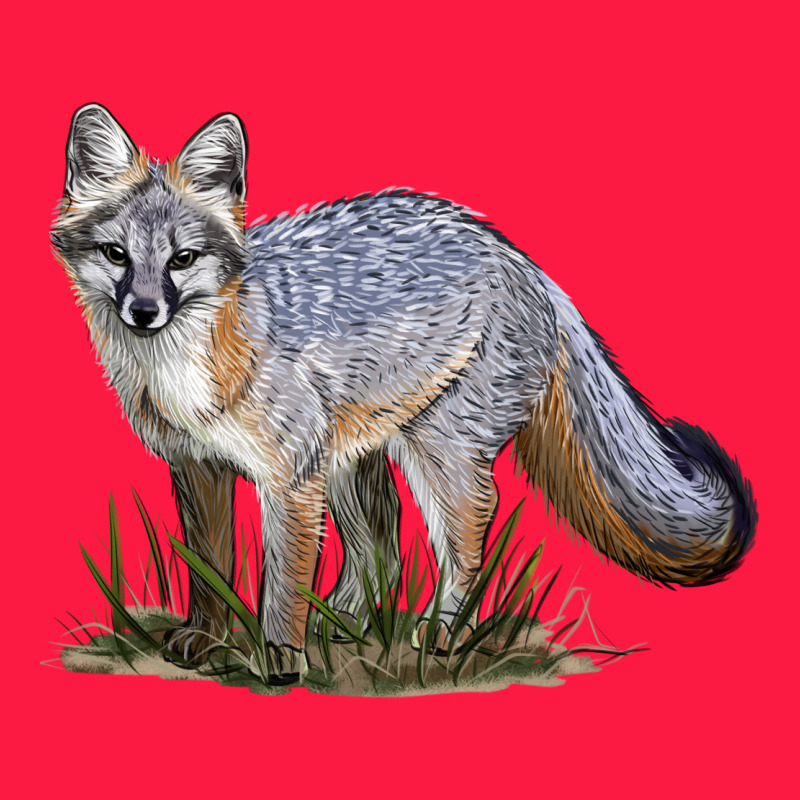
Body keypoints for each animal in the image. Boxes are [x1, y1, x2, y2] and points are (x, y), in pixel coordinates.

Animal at [52, 104, 756, 685]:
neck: (188, 373)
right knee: (381, 551)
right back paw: (347, 621)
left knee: (467, 532)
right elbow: (210, 567)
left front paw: (279, 656)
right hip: (351, 460)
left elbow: (282, 582)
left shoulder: (289, 480)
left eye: (183, 259)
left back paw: (441, 631)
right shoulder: (199, 466)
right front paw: (206, 638)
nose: (144, 311)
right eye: (116, 255)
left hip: (434, 453)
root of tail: (515, 254)